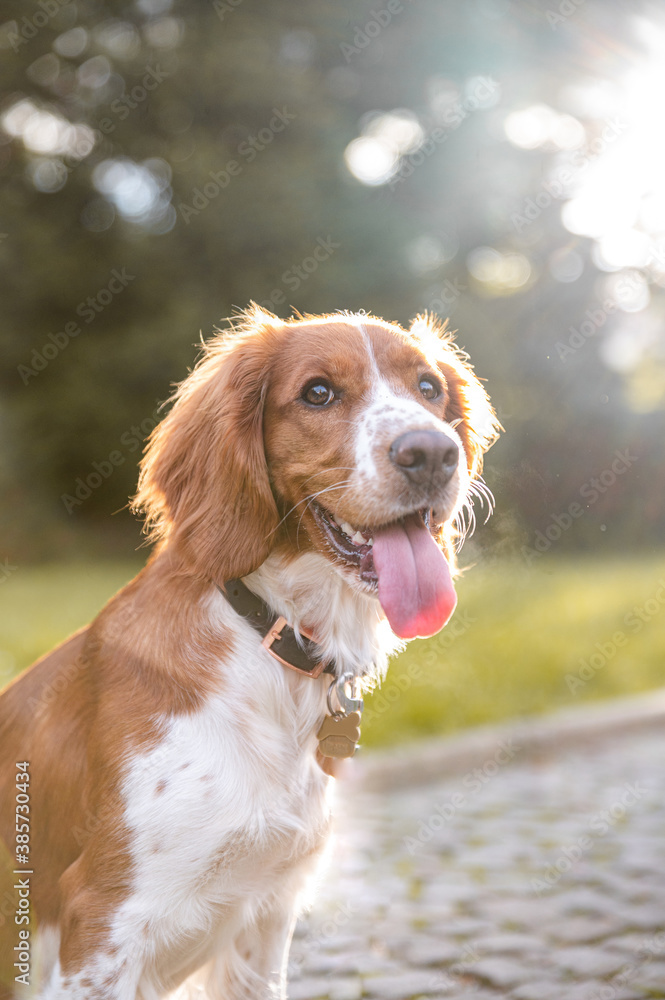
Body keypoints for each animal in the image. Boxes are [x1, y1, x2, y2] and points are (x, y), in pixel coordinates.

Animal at [0, 308, 498, 996]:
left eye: (429, 388)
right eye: (317, 392)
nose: (433, 453)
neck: (271, 640)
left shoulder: (264, 918)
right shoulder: (102, 927)